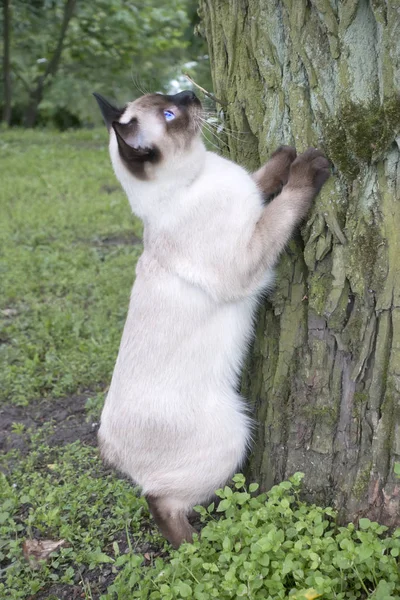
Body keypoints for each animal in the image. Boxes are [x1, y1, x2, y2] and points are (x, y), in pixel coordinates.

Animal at [94, 90, 332, 548]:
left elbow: (261, 178)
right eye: (171, 114)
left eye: (168, 101)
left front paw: (285, 154)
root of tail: (108, 447)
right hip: (233, 435)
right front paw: (307, 167)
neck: (198, 175)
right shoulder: (249, 253)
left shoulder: (249, 194)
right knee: (160, 502)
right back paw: (198, 547)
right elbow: (286, 204)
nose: (189, 94)